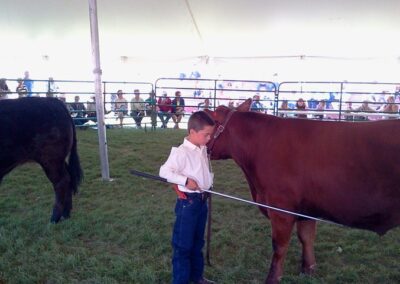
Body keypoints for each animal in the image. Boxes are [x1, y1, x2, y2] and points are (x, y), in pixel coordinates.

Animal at [206, 98, 400, 282]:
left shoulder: (280, 207)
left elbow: (279, 245)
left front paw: (273, 278)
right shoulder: (306, 208)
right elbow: (306, 237)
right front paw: (308, 270)